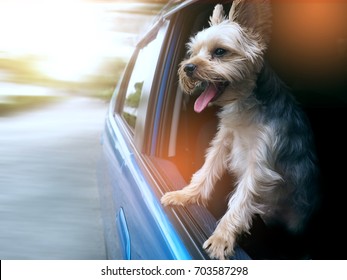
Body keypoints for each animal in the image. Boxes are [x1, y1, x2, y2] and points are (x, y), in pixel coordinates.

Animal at [160, 0, 320, 260]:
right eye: (194, 52)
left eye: (220, 52)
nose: (188, 67)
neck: (246, 103)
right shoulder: (224, 138)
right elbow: (206, 170)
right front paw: (185, 195)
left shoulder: (261, 159)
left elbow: (242, 198)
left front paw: (221, 238)